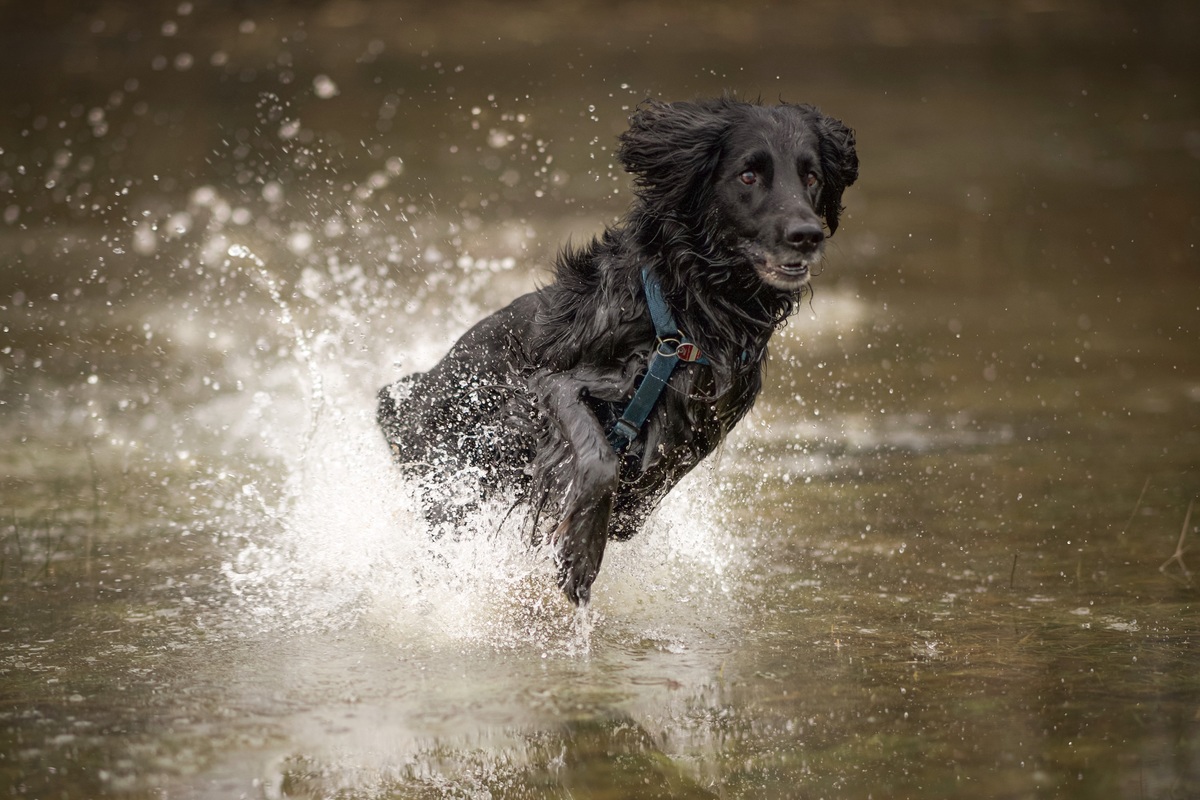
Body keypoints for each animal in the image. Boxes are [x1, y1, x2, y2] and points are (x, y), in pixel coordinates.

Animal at [379, 97, 859, 604]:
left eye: (811, 176)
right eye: (748, 175)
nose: (807, 235)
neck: (692, 315)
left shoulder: (700, 425)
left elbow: (640, 497)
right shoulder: (553, 385)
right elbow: (597, 458)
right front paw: (582, 551)